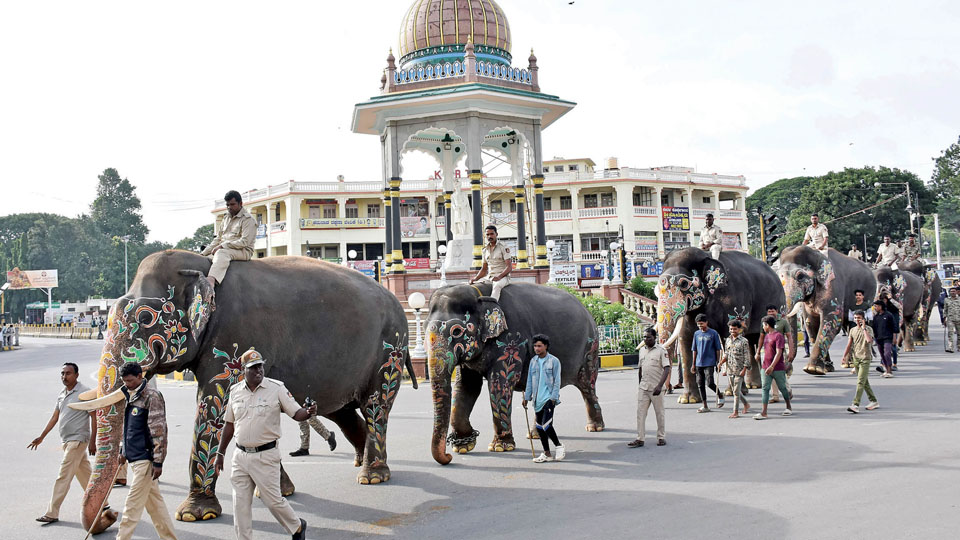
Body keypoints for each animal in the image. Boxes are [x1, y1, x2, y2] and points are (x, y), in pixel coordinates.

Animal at [79, 251, 416, 532]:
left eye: (146, 319)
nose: (109, 515)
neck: (202, 265)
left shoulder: (234, 337)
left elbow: (213, 407)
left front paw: (195, 514)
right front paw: (278, 490)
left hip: (391, 349)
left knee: (376, 406)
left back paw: (373, 476)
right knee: (342, 411)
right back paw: (360, 462)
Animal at [426, 282, 604, 464]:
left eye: (456, 331)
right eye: (424, 328)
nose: (448, 456)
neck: (478, 293)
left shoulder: (511, 341)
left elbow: (499, 384)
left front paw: (500, 447)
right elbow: (467, 386)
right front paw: (463, 447)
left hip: (591, 347)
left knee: (587, 386)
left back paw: (594, 427)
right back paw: (535, 434)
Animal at [652, 247, 796, 402]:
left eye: (684, 284)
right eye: (657, 287)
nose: (665, 390)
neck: (706, 255)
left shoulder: (735, 301)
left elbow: (730, 335)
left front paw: (730, 392)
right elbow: (685, 340)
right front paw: (688, 400)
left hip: (780, 306)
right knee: (750, 340)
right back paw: (753, 386)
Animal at [780, 246, 876, 376]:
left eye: (800, 276)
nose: (788, 371)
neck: (816, 253)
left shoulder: (833, 286)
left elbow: (831, 321)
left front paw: (812, 369)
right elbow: (811, 324)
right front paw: (826, 368)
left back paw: (850, 364)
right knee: (849, 326)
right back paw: (848, 364)